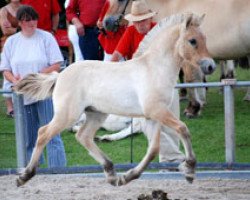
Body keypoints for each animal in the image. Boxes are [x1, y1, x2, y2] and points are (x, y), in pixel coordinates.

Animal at [15, 13, 215, 187]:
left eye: (205, 39)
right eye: (193, 41)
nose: (211, 66)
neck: (154, 68)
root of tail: (60, 75)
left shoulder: (152, 117)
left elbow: (153, 150)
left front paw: (128, 176)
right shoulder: (157, 111)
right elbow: (183, 129)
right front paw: (190, 170)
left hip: (96, 114)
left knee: (83, 136)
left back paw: (111, 173)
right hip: (68, 115)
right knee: (43, 133)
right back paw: (24, 175)